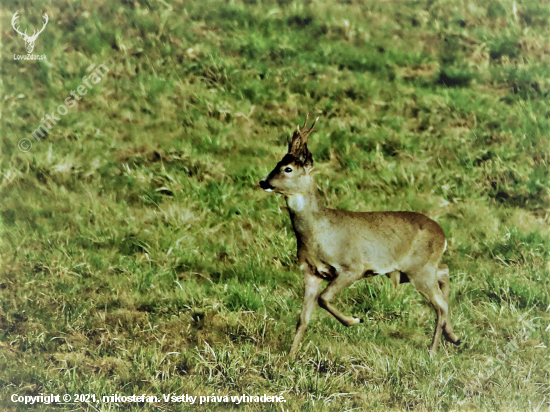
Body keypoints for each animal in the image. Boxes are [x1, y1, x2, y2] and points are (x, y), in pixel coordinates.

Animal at [258, 116, 462, 358]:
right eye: (277, 163)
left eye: (288, 168)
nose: (263, 182)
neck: (319, 232)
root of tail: (442, 234)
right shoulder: (311, 272)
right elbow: (303, 318)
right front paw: (290, 357)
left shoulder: (352, 267)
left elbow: (324, 299)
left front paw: (356, 320)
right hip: (416, 269)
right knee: (445, 274)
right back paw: (453, 337)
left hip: (419, 270)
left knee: (440, 304)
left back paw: (433, 350)